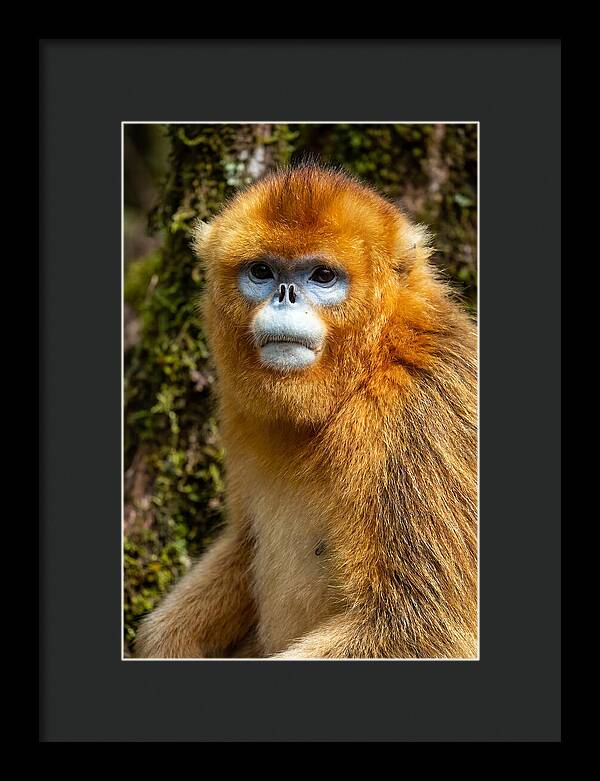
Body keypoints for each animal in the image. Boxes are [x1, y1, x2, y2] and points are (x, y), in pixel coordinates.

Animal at [135, 164, 477, 659]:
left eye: (322, 276)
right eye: (261, 271)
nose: (285, 294)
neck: (369, 370)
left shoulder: (426, 411)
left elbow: (423, 629)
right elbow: (243, 542)